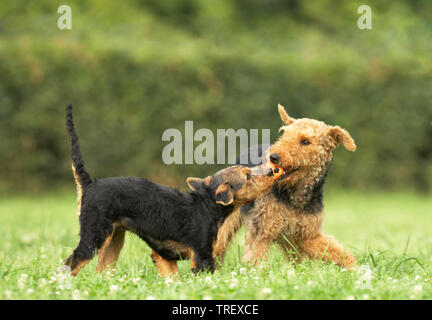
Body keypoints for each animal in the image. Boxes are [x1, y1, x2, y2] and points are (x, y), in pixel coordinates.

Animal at [63, 104, 274, 276]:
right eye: (248, 175)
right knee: (70, 264)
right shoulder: (202, 257)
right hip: (94, 236)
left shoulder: (164, 256)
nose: (272, 171)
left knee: (101, 270)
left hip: (114, 239)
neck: (208, 204)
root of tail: (89, 183)